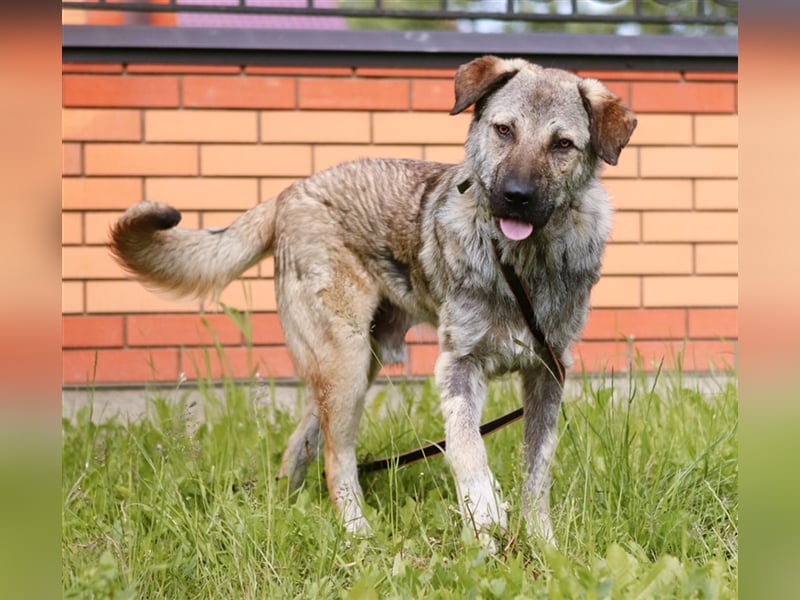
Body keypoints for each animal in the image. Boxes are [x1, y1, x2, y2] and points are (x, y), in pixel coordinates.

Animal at [111, 56, 636, 544]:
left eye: (562, 145)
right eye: (504, 130)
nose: (516, 196)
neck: (522, 264)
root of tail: (288, 194)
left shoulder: (549, 373)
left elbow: (537, 472)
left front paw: (543, 543)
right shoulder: (459, 367)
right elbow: (470, 454)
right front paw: (486, 525)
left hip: (357, 363)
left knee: (303, 443)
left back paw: (285, 504)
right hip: (343, 362)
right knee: (335, 457)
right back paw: (355, 531)